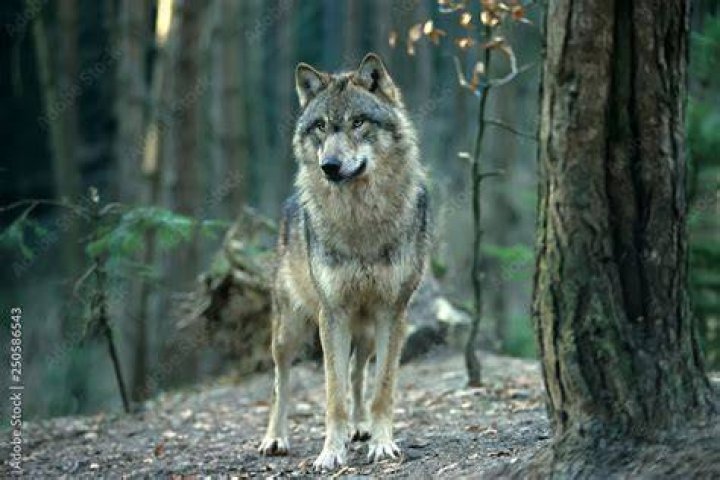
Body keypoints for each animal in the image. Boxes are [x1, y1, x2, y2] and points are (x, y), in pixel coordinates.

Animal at [258, 53, 431, 471]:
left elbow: (381, 388)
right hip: (288, 330)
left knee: (358, 371)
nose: (330, 166)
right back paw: (275, 438)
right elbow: (332, 395)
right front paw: (330, 453)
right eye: (321, 126)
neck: (360, 221)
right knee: (280, 381)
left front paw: (381, 443)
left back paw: (361, 426)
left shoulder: (391, 312)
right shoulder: (332, 313)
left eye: (358, 122)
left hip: (364, 329)